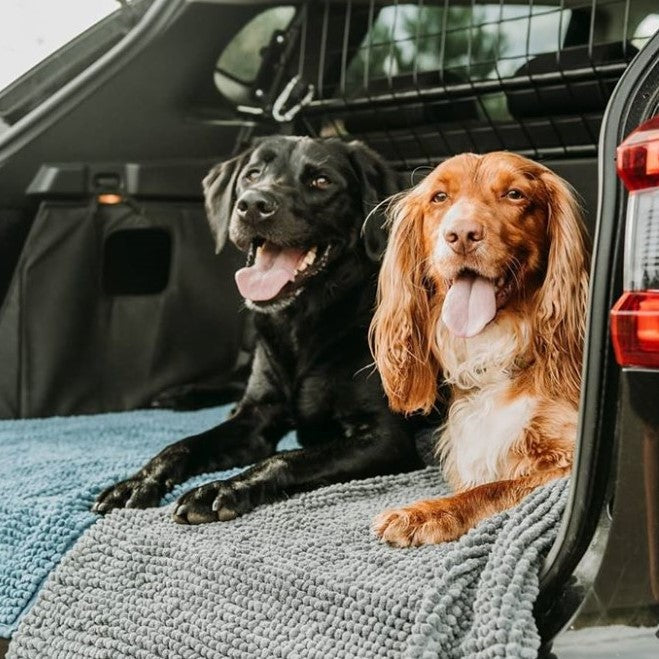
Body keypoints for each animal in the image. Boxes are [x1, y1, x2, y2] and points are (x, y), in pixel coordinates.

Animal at [93, 135, 422, 524]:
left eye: (321, 181)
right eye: (252, 175)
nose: (252, 205)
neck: (301, 324)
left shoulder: (387, 437)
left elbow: (283, 458)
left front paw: (221, 488)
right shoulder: (257, 416)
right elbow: (182, 445)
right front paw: (138, 481)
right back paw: (182, 395)